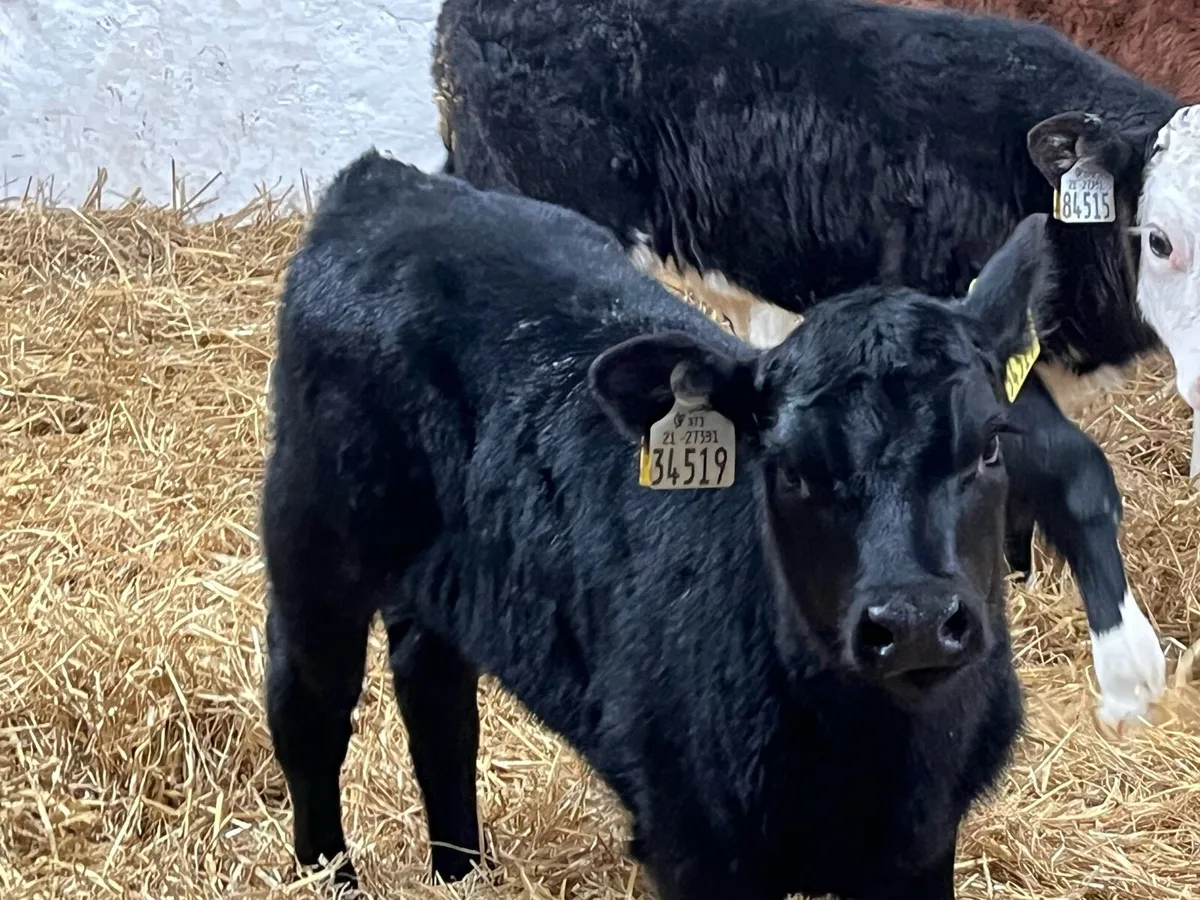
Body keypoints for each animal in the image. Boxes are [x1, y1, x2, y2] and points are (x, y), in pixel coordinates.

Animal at [260, 151, 1044, 899]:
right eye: (789, 468)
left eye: (990, 444)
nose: (915, 622)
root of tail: (389, 182)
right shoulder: (693, 843)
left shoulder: (924, 849)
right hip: (312, 538)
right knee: (309, 707)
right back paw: (328, 877)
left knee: (435, 695)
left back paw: (462, 871)